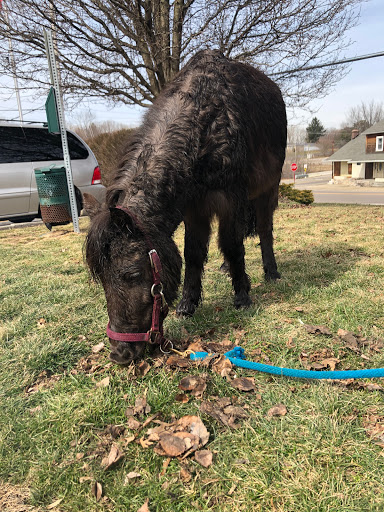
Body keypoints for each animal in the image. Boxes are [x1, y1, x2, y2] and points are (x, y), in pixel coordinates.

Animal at [85, 49, 286, 364]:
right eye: (102, 280)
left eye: (132, 274)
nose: (120, 354)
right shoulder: (194, 208)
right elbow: (193, 253)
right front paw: (188, 304)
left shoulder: (230, 200)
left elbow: (232, 244)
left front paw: (242, 296)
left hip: (268, 189)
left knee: (263, 231)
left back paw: (271, 272)